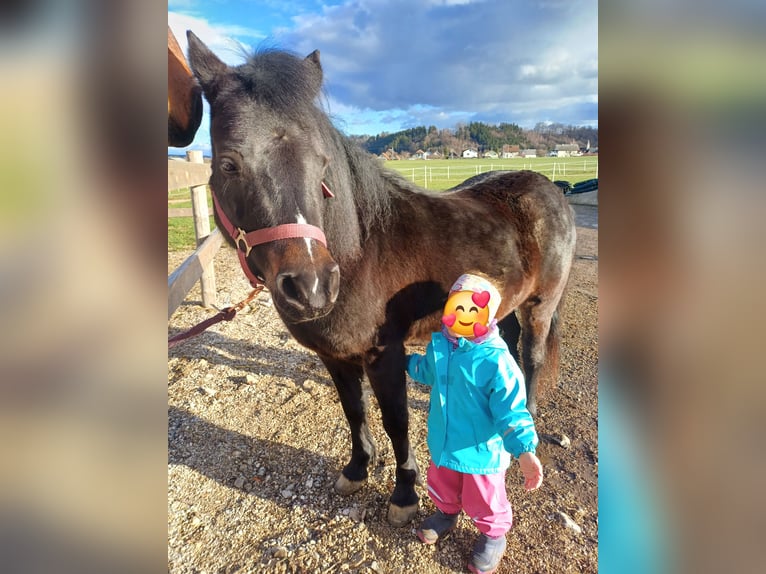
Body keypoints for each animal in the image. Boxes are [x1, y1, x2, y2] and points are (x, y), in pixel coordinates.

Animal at [186, 30, 580, 528]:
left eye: (321, 165)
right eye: (228, 164)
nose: (312, 287)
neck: (359, 250)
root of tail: (552, 189)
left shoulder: (384, 353)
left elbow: (396, 421)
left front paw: (405, 493)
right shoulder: (335, 356)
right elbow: (354, 412)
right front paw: (357, 469)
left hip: (540, 307)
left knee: (531, 359)